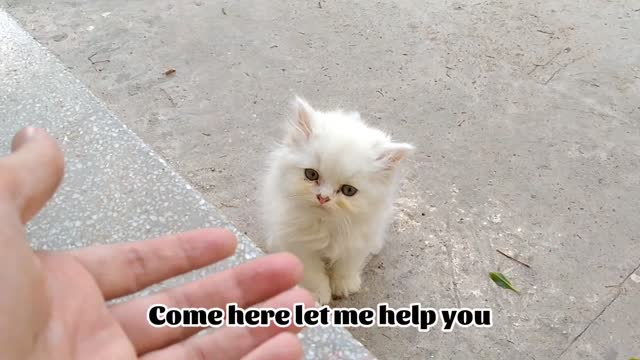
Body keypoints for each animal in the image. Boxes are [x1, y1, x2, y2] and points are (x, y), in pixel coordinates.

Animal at [262, 97, 416, 306]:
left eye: (348, 190)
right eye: (311, 175)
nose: (323, 198)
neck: (327, 225)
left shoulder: (357, 240)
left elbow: (347, 264)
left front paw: (345, 286)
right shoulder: (299, 243)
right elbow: (312, 273)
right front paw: (317, 294)